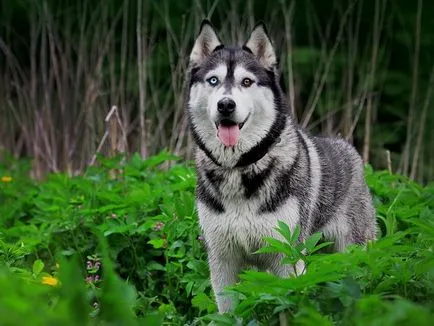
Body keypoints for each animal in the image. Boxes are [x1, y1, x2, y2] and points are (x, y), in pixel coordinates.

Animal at [186, 19, 376, 312]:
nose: (226, 104)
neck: (239, 168)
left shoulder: (288, 257)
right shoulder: (222, 260)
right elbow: (228, 311)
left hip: (353, 248)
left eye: (247, 81)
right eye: (213, 80)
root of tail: (349, 148)